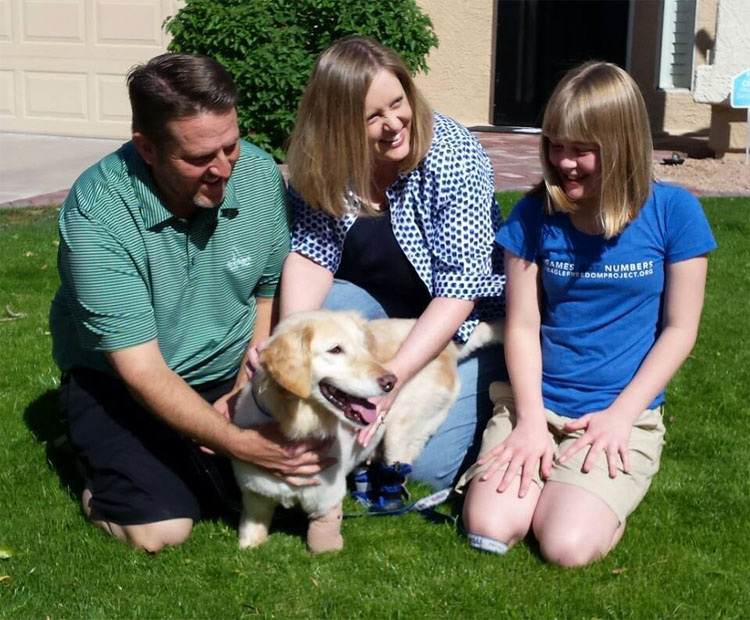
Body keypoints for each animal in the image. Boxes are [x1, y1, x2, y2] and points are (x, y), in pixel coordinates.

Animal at [234, 310, 506, 552]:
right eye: (336, 349)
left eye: (364, 347)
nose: (391, 381)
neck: (296, 424)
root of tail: (448, 346)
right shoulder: (255, 493)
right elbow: (251, 532)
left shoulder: (326, 498)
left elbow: (324, 541)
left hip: (401, 431)